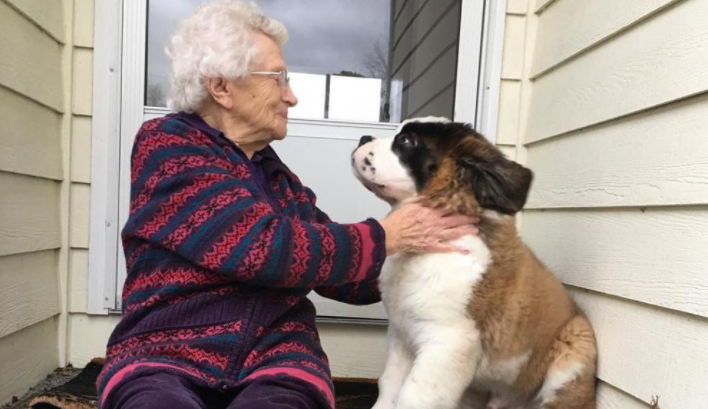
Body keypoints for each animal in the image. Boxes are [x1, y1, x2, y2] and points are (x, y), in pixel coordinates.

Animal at [352, 117, 596, 408]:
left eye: (408, 141)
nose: (363, 138)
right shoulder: (401, 336)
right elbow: (389, 386)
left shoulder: (447, 343)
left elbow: (414, 396)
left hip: (573, 353)